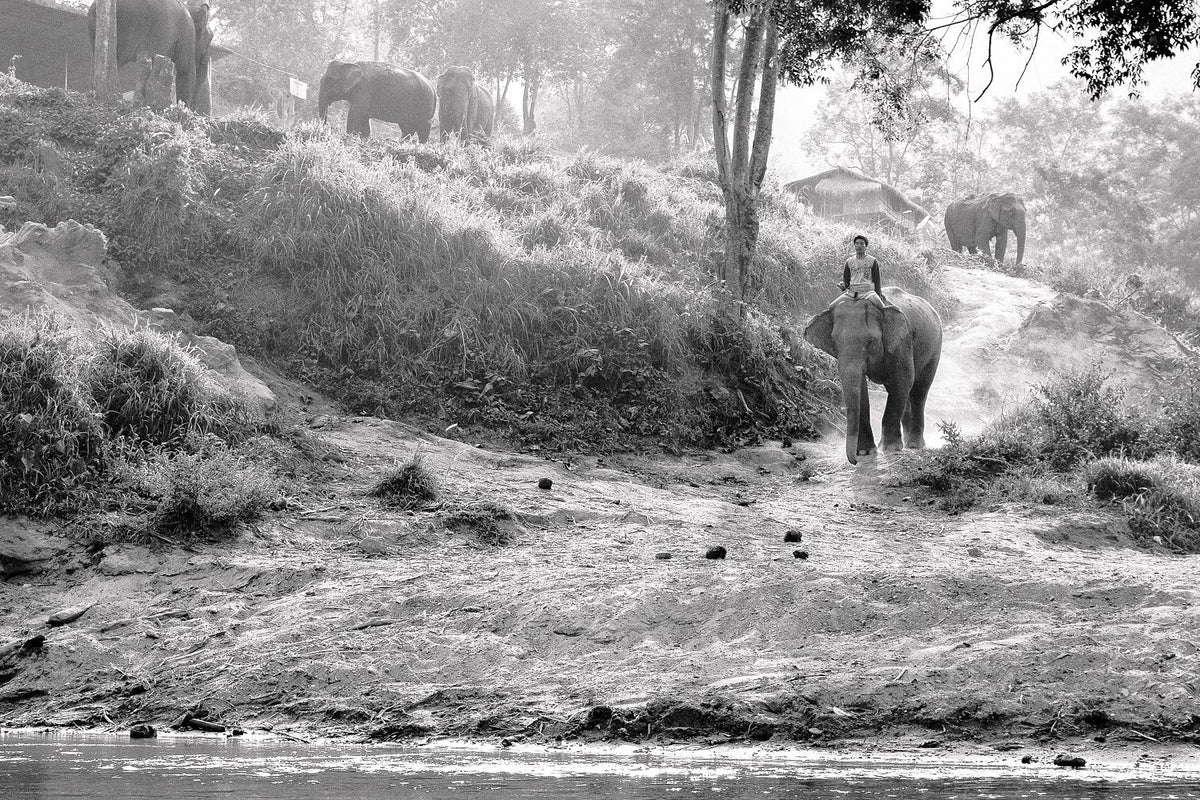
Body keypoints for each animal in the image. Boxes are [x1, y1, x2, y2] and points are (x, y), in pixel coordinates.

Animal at [804, 287, 943, 465]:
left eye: (871, 341)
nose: (854, 461)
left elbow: (903, 380)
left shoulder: (902, 344)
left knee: (919, 390)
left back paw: (914, 444)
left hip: (935, 348)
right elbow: (861, 388)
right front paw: (865, 451)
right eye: (834, 341)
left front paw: (890, 448)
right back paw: (907, 441)